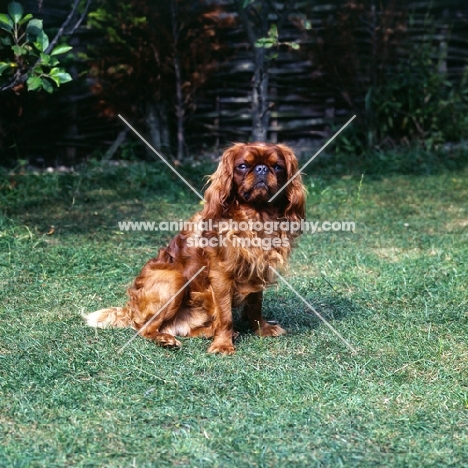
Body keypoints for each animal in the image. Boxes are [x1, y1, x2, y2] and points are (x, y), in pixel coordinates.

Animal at [84, 143, 308, 354]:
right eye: (243, 166)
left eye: (277, 167)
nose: (262, 169)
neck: (256, 216)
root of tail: (130, 307)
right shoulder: (221, 275)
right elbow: (225, 315)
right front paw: (223, 345)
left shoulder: (258, 268)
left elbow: (255, 304)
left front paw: (262, 329)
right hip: (175, 279)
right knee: (146, 328)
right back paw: (167, 339)